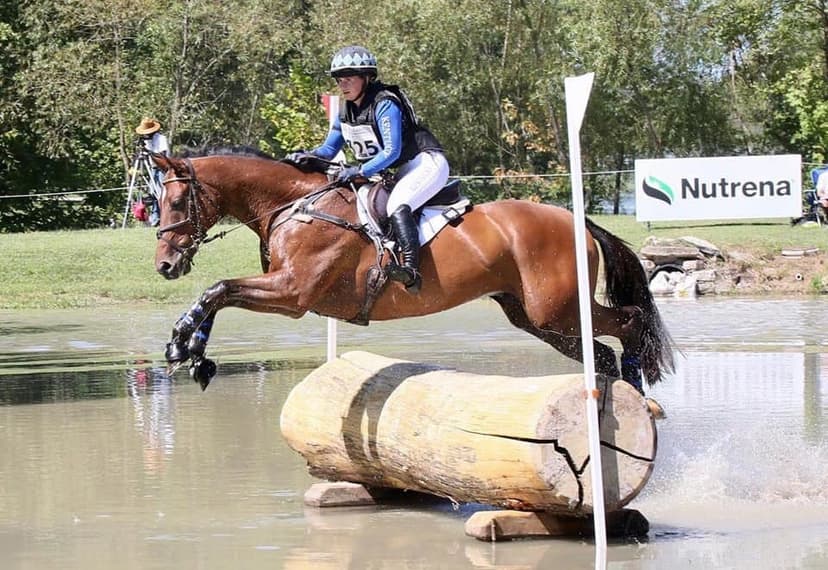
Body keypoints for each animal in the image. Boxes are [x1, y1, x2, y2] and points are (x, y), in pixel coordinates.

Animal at [152, 148, 674, 396]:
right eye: (154, 202)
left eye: (175, 202)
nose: (165, 265)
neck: (295, 206)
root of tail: (577, 221)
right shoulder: (284, 290)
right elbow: (219, 294)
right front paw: (194, 354)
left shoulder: (294, 293)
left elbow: (218, 288)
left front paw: (180, 344)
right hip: (537, 318)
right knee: (600, 353)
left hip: (558, 309)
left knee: (629, 322)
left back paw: (640, 387)